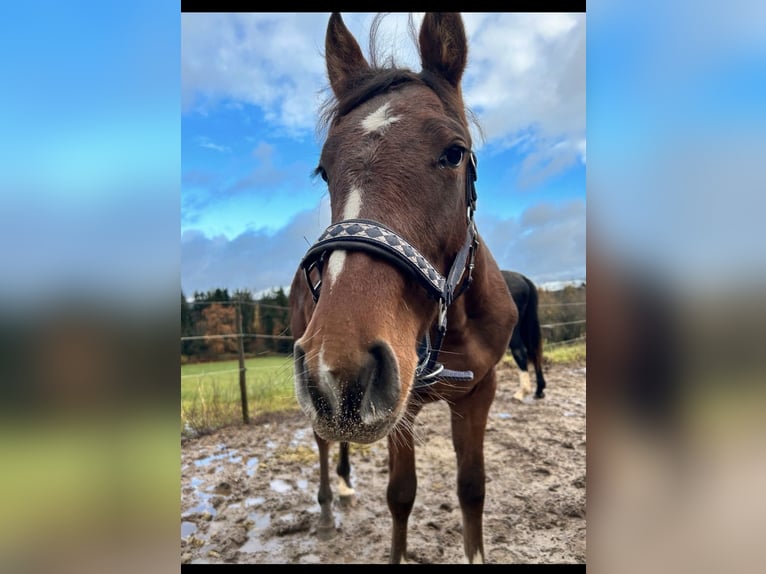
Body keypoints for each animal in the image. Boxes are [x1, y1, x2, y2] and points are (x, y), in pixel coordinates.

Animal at [292, 13, 520, 568]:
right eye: (324, 170)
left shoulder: (479, 393)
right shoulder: (405, 409)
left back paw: (347, 487)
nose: (339, 372)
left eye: (454, 153)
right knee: (323, 443)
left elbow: (472, 488)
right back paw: (328, 507)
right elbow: (401, 496)